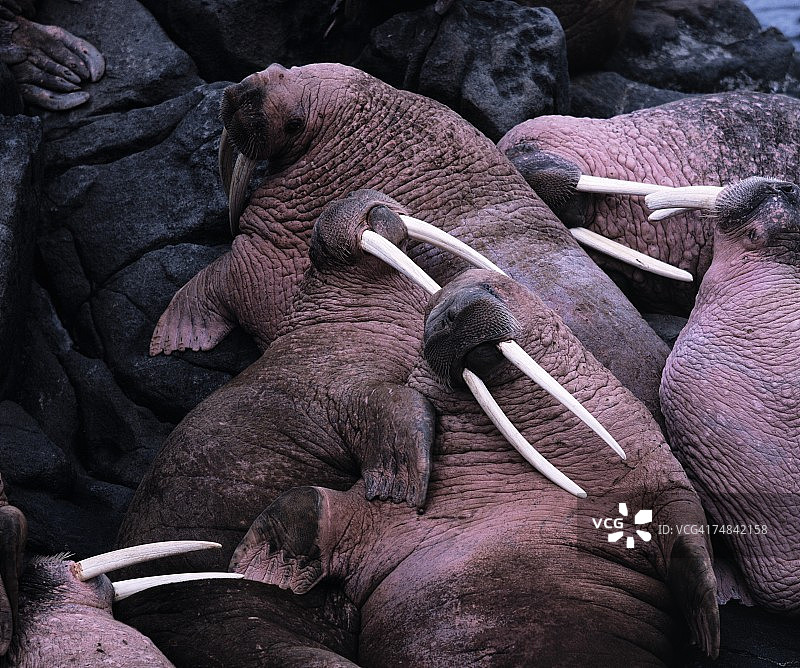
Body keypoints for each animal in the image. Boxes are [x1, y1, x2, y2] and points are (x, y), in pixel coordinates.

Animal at [151, 61, 671, 423]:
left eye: (294, 121)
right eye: (280, 69)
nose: (243, 92)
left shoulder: (274, 248)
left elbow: (226, 277)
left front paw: (172, 338)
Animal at [232, 269, 719, 666]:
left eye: (488, 288)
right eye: (427, 317)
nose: (450, 315)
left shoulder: (658, 477)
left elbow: (686, 534)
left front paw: (708, 629)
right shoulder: (386, 515)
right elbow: (313, 502)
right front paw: (255, 563)